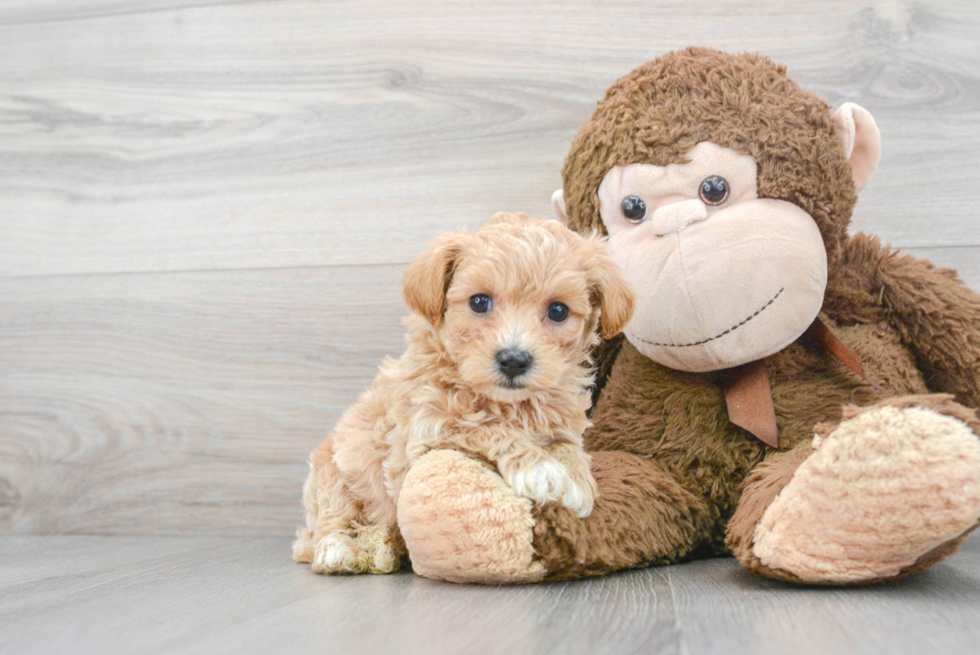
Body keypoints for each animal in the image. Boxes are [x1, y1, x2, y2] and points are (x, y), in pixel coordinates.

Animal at [290, 214, 636, 576]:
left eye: (558, 311)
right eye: (479, 302)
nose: (514, 359)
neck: (509, 404)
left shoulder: (561, 420)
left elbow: (568, 446)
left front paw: (577, 479)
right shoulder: (427, 427)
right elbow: (484, 427)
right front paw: (540, 469)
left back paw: (384, 545)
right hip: (334, 478)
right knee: (326, 526)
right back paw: (341, 550)